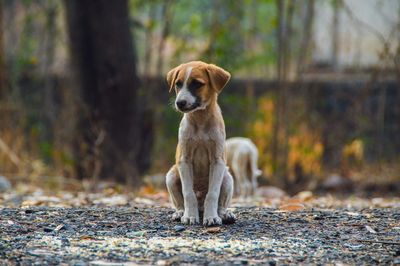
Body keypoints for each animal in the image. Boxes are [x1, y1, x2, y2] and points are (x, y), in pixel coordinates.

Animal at [165, 61, 236, 225]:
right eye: (178, 84)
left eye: (197, 84)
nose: (180, 103)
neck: (200, 121)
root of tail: (200, 207)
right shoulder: (184, 160)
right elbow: (188, 193)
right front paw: (190, 216)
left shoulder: (217, 161)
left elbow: (213, 193)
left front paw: (211, 218)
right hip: (171, 176)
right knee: (180, 202)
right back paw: (180, 213)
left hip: (227, 178)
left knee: (221, 204)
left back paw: (224, 214)